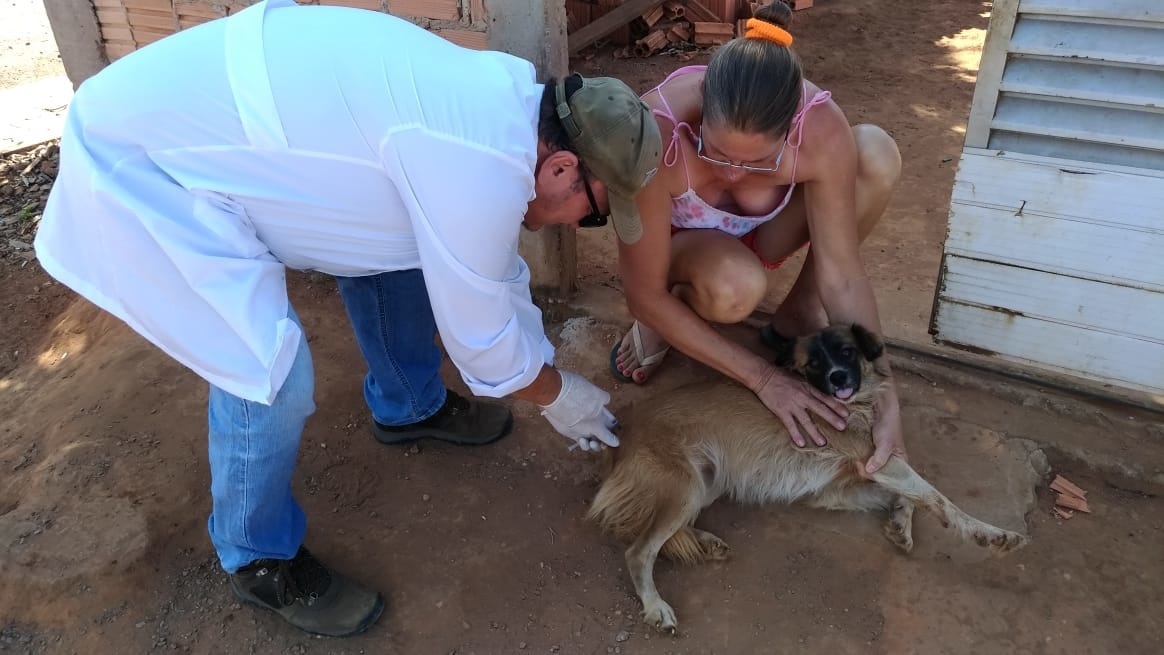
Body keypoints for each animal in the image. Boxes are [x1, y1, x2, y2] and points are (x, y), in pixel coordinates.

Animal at [591, 325, 1028, 632]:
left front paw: (900, 525)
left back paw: (706, 542)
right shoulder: (875, 463)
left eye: (846, 351)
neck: (854, 405)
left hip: (706, 482)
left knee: (664, 533)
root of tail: (621, 432)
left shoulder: (841, 486)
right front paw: (991, 535)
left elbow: (907, 497)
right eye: (814, 363)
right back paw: (655, 606)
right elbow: (938, 498)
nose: (838, 378)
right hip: (685, 485)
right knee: (640, 549)